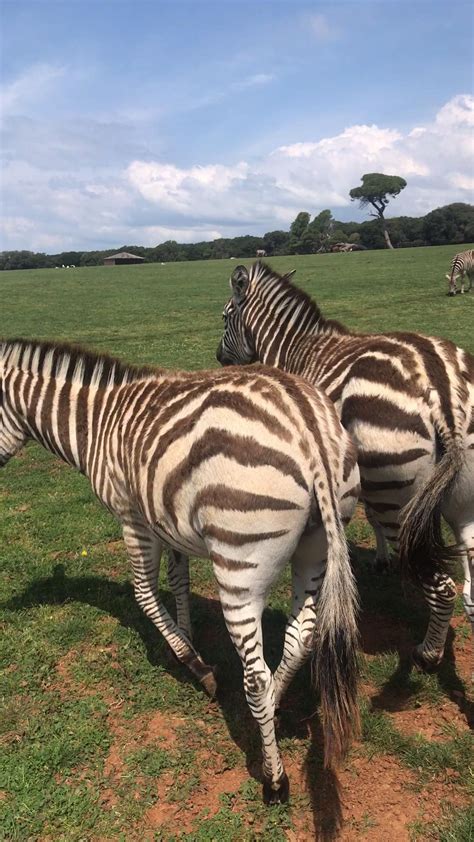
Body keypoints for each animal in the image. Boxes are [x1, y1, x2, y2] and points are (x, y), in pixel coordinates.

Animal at [0, 337, 361, 803]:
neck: (96, 425)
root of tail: (308, 425)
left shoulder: (133, 518)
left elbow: (144, 594)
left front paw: (197, 666)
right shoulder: (165, 520)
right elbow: (180, 582)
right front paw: (188, 638)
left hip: (240, 565)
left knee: (256, 677)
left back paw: (274, 778)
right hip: (315, 551)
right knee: (300, 638)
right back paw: (275, 713)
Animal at [217, 262, 474, 679]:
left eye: (226, 317)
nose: (219, 358)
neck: (295, 347)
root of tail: (442, 389)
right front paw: (381, 560)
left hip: (397, 496)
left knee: (441, 587)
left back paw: (428, 654)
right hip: (459, 495)